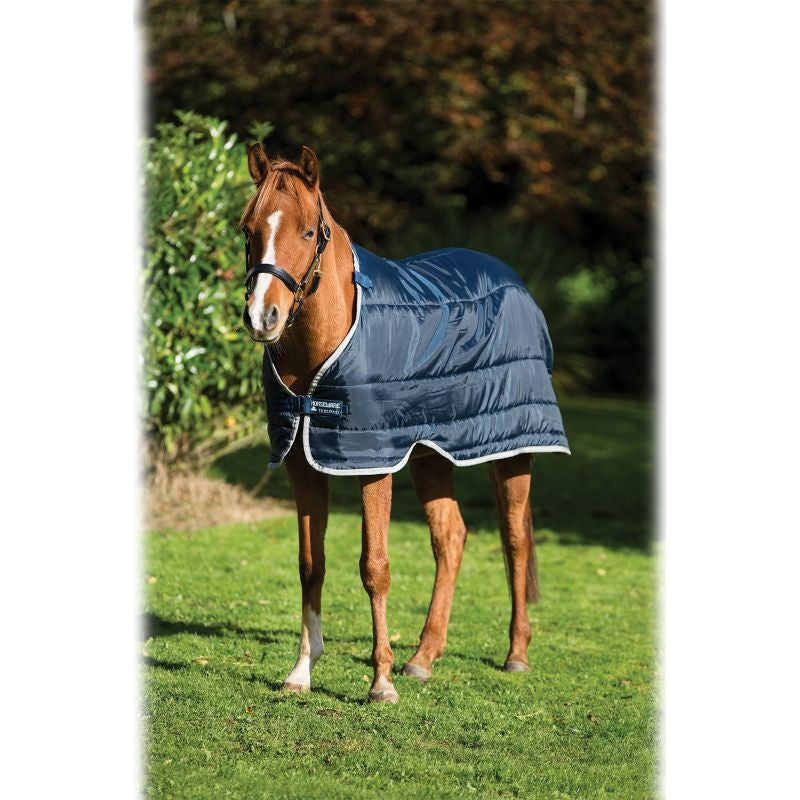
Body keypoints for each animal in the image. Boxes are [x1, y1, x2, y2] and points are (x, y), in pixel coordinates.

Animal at [240, 144, 569, 703]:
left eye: (307, 232)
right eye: (248, 230)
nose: (263, 317)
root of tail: (513, 280)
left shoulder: (372, 464)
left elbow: (374, 567)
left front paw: (380, 682)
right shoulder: (303, 464)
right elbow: (311, 565)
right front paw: (301, 673)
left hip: (512, 449)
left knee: (514, 540)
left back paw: (516, 654)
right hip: (431, 455)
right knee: (451, 538)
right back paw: (424, 657)